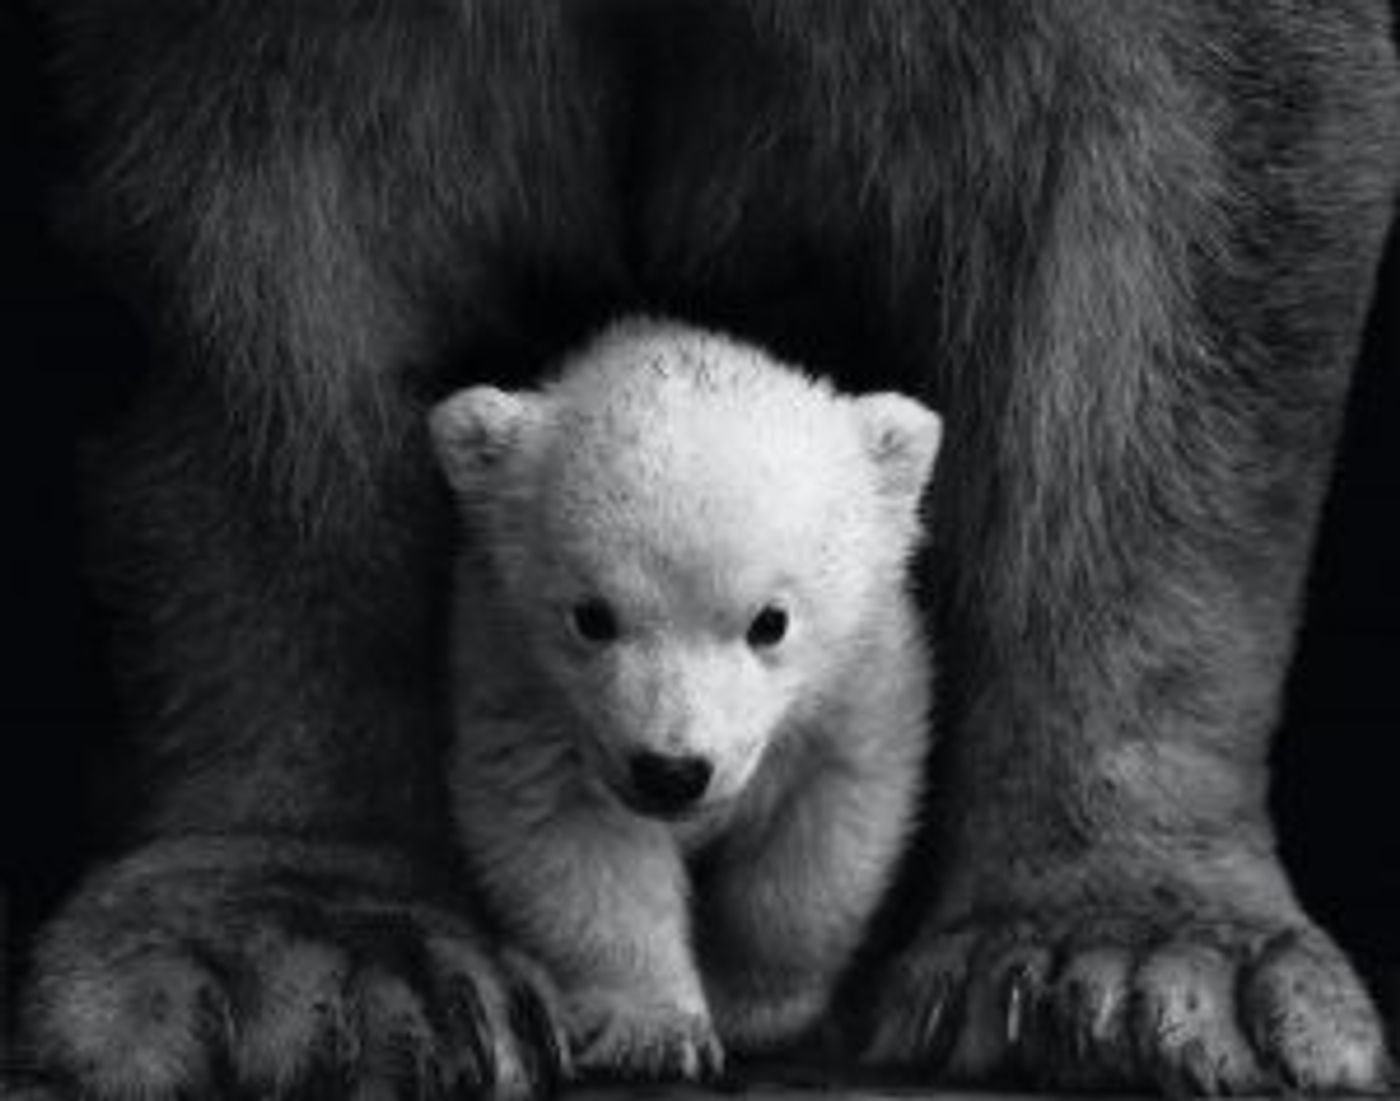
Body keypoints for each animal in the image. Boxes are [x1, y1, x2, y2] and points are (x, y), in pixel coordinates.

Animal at [427, 319, 939, 1079]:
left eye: (771, 621)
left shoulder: (859, 686)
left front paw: (754, 1006)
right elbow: (575, 843)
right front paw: (657, 1030)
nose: (671, 771)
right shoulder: (520, 688)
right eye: (592, 616)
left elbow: (821, 842)